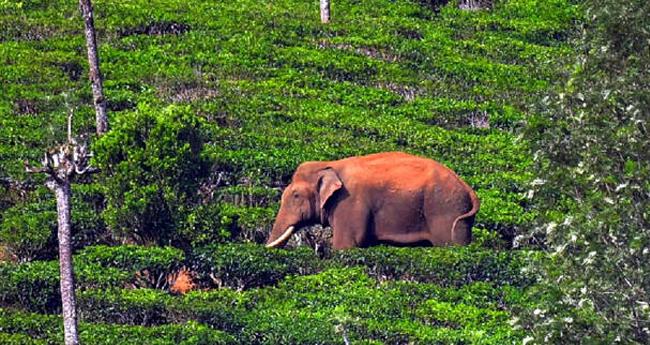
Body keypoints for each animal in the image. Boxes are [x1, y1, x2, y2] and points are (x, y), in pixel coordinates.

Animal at [266, 152, 478, 249]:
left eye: (296, 195)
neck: (329, 164)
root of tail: (468, 188)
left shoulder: (349, 204)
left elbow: (345, 245)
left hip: (446, 210)